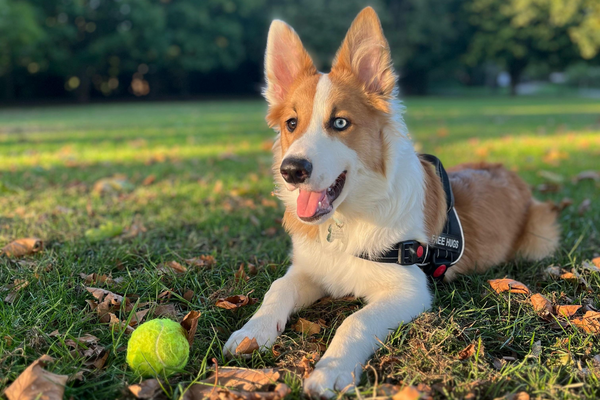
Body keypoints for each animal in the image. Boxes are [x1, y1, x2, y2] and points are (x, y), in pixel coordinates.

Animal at [223, 7, 560, 396]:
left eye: (340, 123)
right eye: (292, 123)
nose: (292, 170)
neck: (346, 222)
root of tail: (509, 172)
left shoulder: (409, 290)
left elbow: (355, 320)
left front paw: (331, 370)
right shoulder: (311, 268)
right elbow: (277, 289)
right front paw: (253, 332)